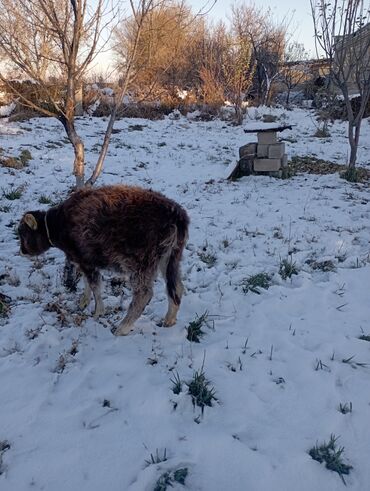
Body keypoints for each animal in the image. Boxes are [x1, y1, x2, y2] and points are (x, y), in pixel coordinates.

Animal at [18, 184, 189, 334]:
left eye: (23, 234)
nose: (22, 251)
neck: (60, 224)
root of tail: (176, 215)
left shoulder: (86, 261)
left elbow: (95, 286)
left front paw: (98, 311)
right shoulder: (84, 262)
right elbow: (87, 283)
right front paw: (84, 301)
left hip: (140, 264)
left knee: (144, 294)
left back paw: (122, 328)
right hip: (170, 260)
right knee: (177, 288)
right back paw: (169, 320)